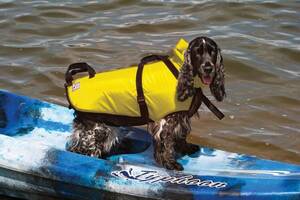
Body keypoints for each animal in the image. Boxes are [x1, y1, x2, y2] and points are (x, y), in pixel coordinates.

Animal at [66, 36, 225, 170]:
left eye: (212, 52)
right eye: (197, 53)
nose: (208, 68)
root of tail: (71, 84)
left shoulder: (181, 119)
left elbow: (181, 136)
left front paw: (187, 149)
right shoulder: (166, 122)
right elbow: (166, 145)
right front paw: (170, 164)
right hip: (97, 131)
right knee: (80, 151)